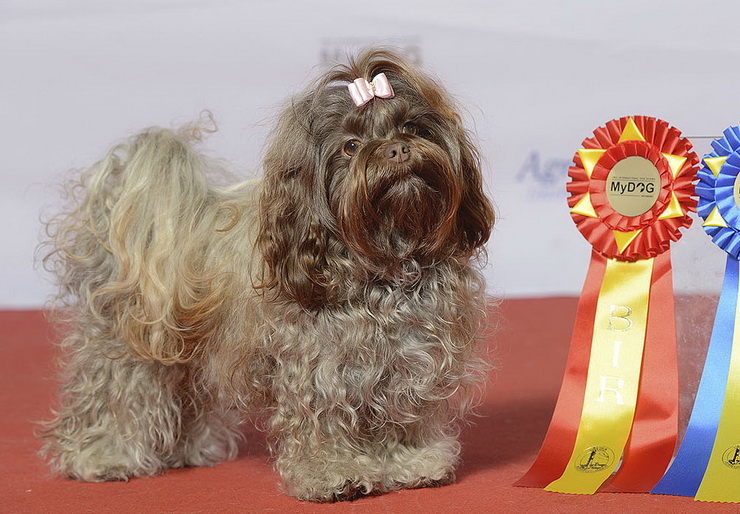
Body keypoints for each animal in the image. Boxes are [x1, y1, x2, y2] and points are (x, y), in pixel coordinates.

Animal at [39, 49, 492, 500]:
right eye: (351, 145)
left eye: (411, 127)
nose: (398, 149)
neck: (381, 263)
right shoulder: (317, 370)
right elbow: (322, 426)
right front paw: (333, 474)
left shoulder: (407, 362)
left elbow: (402, 418)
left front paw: (410, 462)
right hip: (127, 347)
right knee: (113, 398)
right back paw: (103, 455)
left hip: (182, 350)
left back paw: (186, 451)